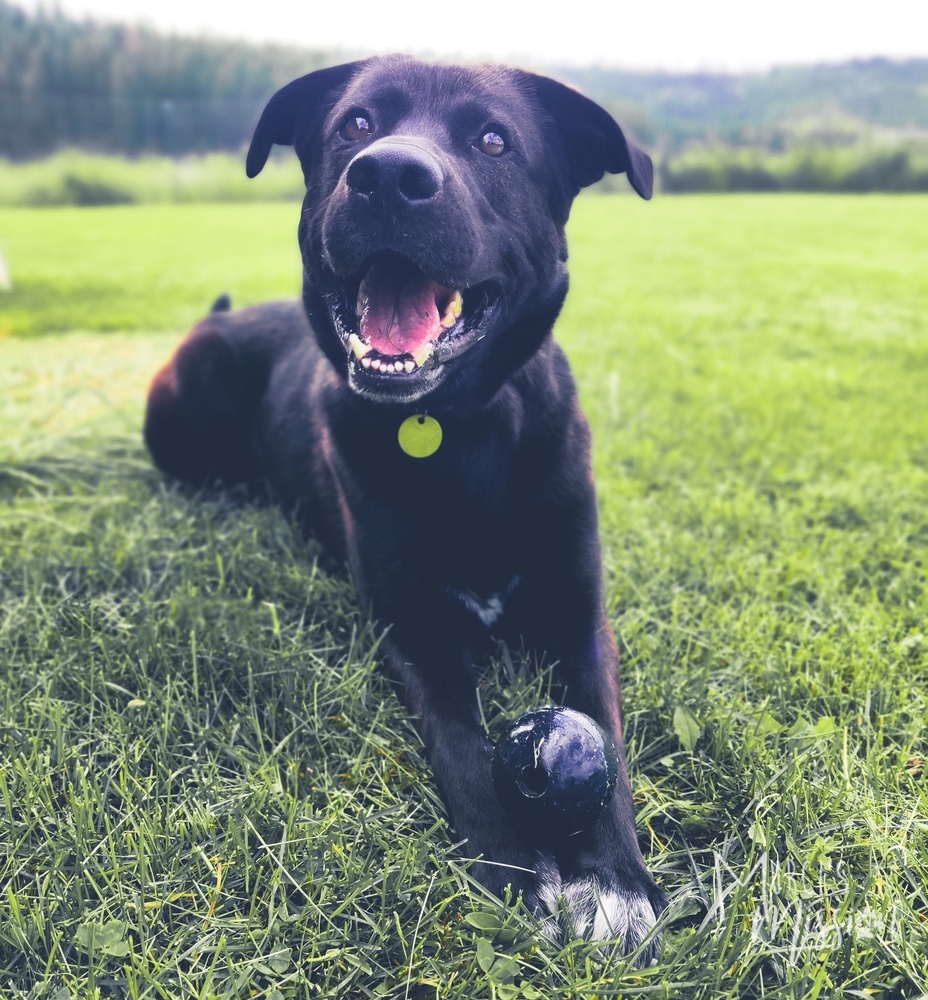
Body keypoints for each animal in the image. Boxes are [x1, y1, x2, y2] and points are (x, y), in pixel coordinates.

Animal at [145, 56, 664, 960]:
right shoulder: (413, 628)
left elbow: (606, 737)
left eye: (493, 140)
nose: (387, 174)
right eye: (355, 125)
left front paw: (614, 880)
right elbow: (461, 744)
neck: (453, 427)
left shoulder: (581, 615)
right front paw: (516, 874)